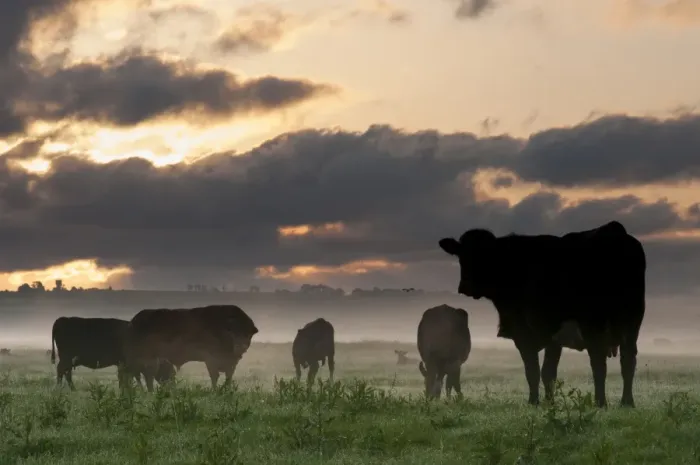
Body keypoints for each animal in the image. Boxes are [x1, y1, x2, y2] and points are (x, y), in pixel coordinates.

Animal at [124, 305, 258, 391]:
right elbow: (214, 376)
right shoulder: (211, 360)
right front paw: (215, 391)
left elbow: (228, 377)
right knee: (144, 375)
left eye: (247, 334)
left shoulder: (232, 363)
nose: (240, 346)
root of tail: (133, 321)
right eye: (232, 332)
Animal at [439, 220, 646, 408]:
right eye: (461, 255)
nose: (465, 287)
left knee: (598, 363)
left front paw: (534, 402)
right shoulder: (554, 336)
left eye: (485, 256)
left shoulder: (524, 332)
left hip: (593, 323)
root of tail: (614, 232)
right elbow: (548, 372)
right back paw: (627, 402)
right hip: (632, 322)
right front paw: (549, 402)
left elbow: (532, 371)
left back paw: (601, 402)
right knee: (628, 361)